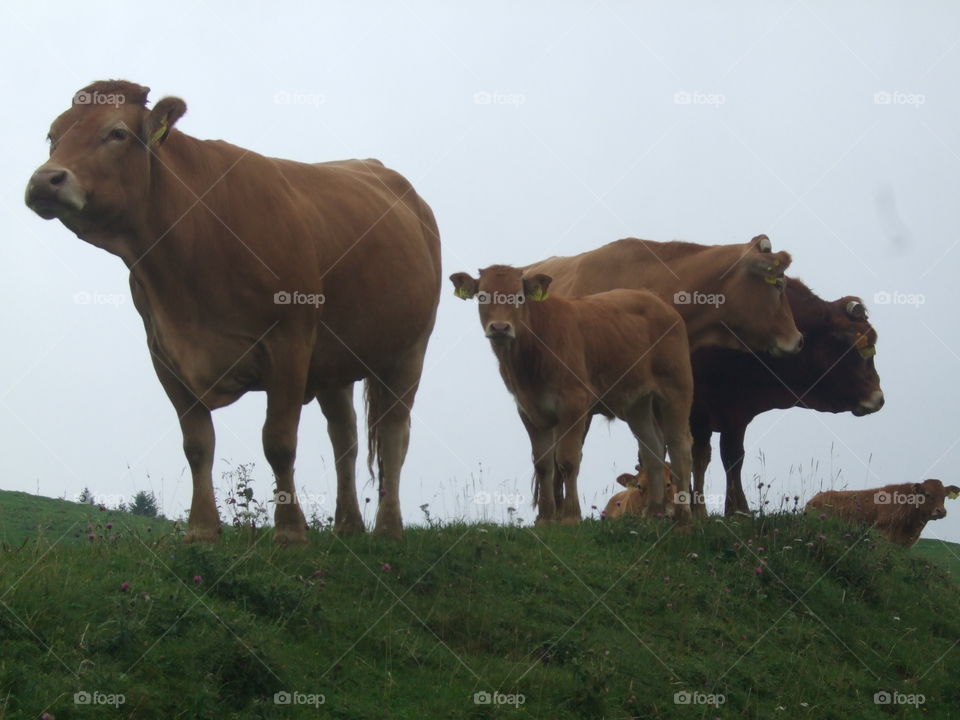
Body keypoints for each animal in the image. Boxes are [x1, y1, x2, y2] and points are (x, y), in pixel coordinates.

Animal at [25, 80, 441, 542]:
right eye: (53, 136)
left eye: (116, 133)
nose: (45, 179)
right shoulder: (164, 353)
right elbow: (197, 444)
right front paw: (202, 530)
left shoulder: (290, 340)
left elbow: (279, 442)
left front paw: (289, 532)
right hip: (335, 363)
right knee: (344, 436)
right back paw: (347, 526)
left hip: (409, 351)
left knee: (393, 434)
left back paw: (388, 529)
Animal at [450, 265, 693, 524]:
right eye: (482, 296)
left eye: (518, 297)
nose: (499, 327)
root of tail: (657, 301)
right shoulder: (528, 409)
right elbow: (543, 464)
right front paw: (545, 519)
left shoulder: (573, 404)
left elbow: (567, 461)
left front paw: (570, 516)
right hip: (636, 403)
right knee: (652, 448)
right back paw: (654, 513)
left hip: (677, 389)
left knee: (679, 446)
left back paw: (683, 516)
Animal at [690, 281, 883, 516]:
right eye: (861, 348)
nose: (879, 398)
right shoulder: (697, 406)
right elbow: (698, 457)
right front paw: (697, 511)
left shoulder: (735, 410)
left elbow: (733, 458)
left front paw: (739, 511)